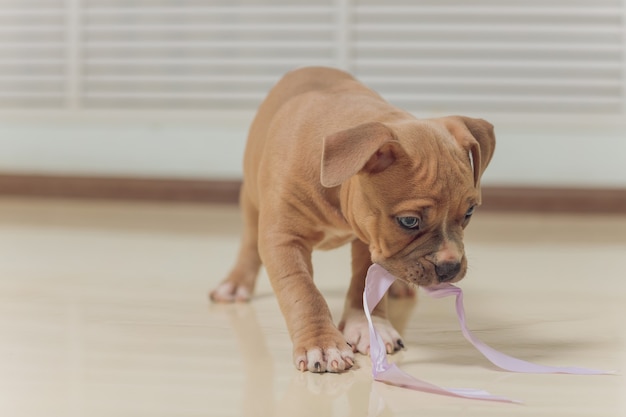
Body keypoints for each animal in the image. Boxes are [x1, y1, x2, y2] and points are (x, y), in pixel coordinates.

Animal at [210, 66, 492, 372]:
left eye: (469, 213)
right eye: (408, 221)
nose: (450, 267)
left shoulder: (371, 240)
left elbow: (363, 285)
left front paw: (370, 327)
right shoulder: (284, 239)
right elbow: (303, 291)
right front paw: (321, 344)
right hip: (250, 199)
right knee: (250, 242)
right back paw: (236, 283)